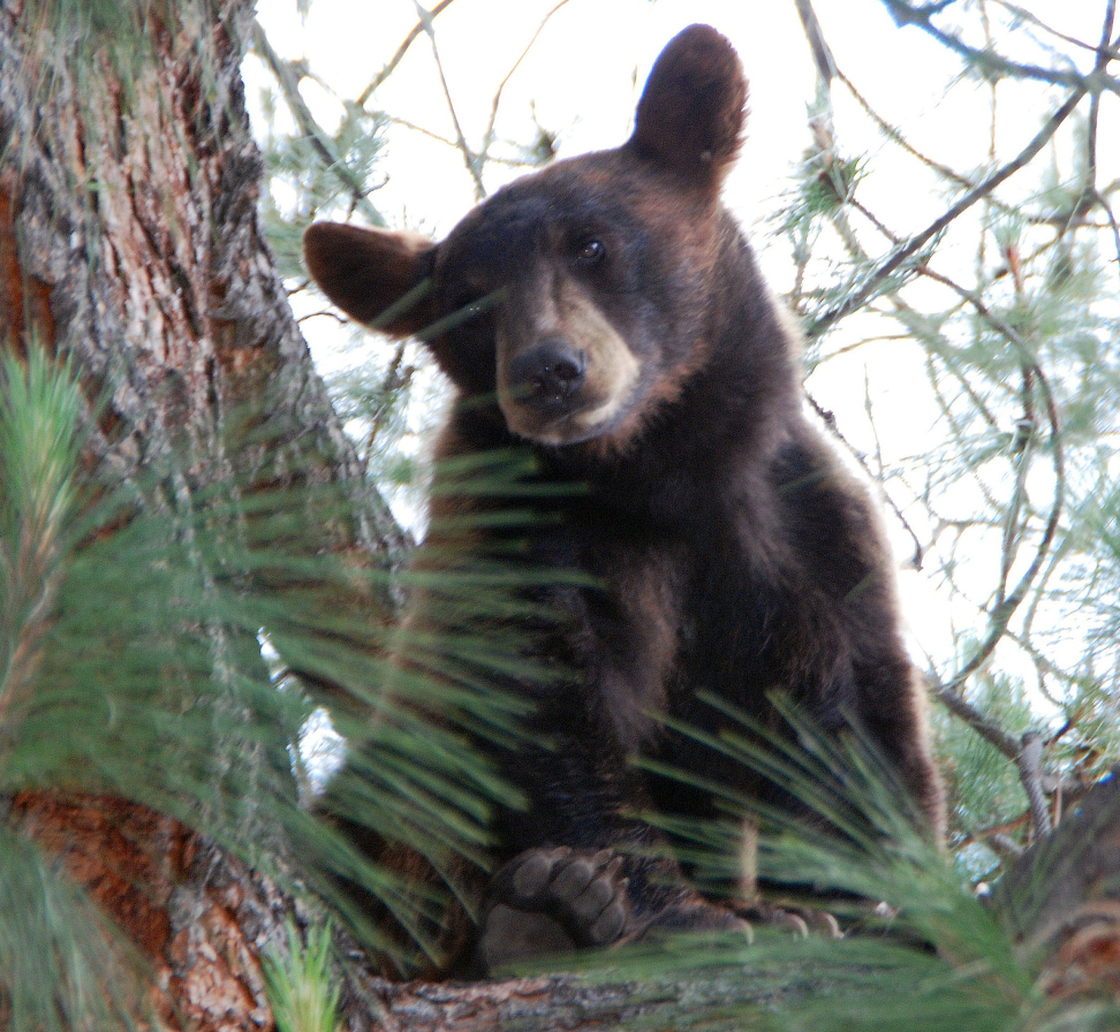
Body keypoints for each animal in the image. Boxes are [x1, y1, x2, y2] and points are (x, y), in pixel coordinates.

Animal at [303, 23, 945, 974]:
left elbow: (853, 716)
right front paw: (644, 904)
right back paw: (550, 910)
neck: (658, 474)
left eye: (593, 245)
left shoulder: (803, 524)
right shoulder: (514, 531)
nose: (549, 371)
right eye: (469, 302)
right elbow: (546, 697)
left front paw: (880, 904)